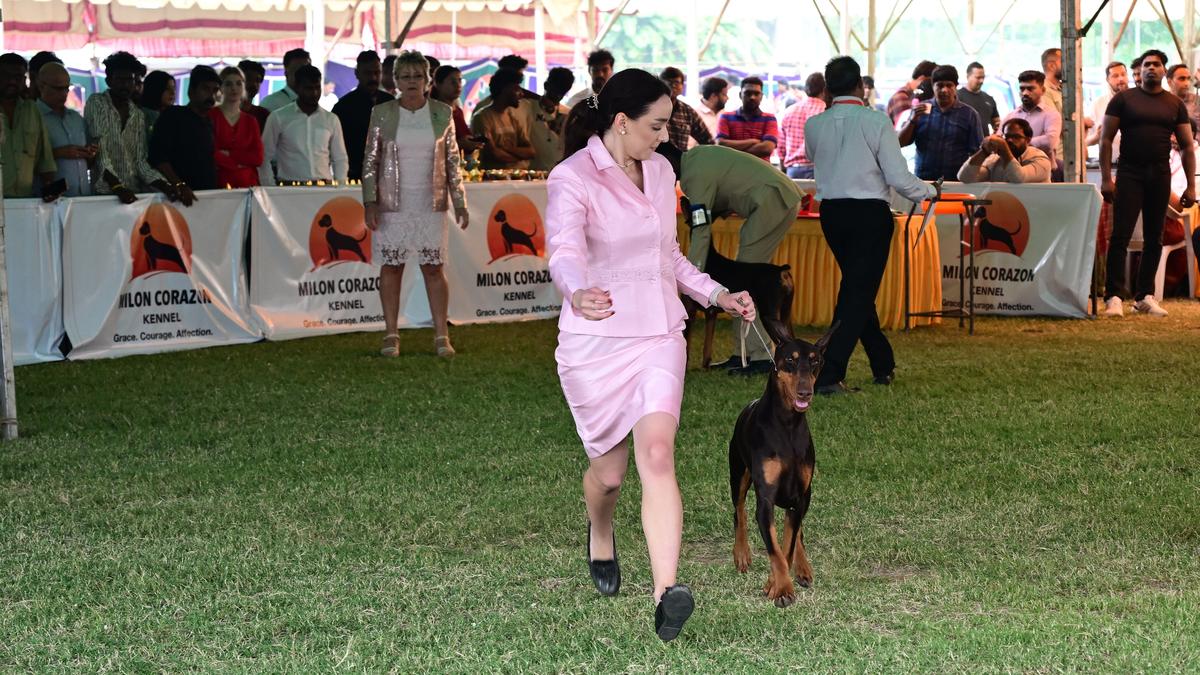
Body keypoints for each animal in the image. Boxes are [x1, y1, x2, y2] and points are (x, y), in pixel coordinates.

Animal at [729, 319, 835, 605]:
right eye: (790, 359)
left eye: (816, 361)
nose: (805, 392)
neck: (788, 423)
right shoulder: (765, 497)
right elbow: (775, 549)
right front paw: (783, 589)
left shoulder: (800, 493)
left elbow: (786, 544)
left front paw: (775, 583)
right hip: (738, 473)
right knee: (739, 511)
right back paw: (741, 553)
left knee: (797, 531)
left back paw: (803, 567)